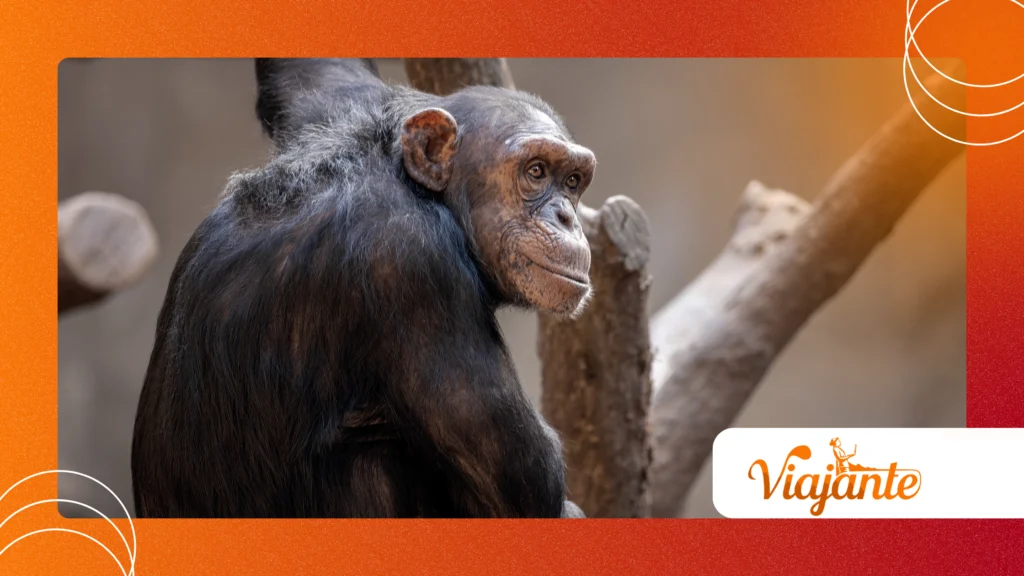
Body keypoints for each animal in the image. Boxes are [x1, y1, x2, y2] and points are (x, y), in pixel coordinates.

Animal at [131, 59, 593, 518]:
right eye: (536, 171)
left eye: (572, 181)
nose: (567, 217)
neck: (417, 189)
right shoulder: (416, 268)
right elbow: (532, 495)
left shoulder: (336, 109)